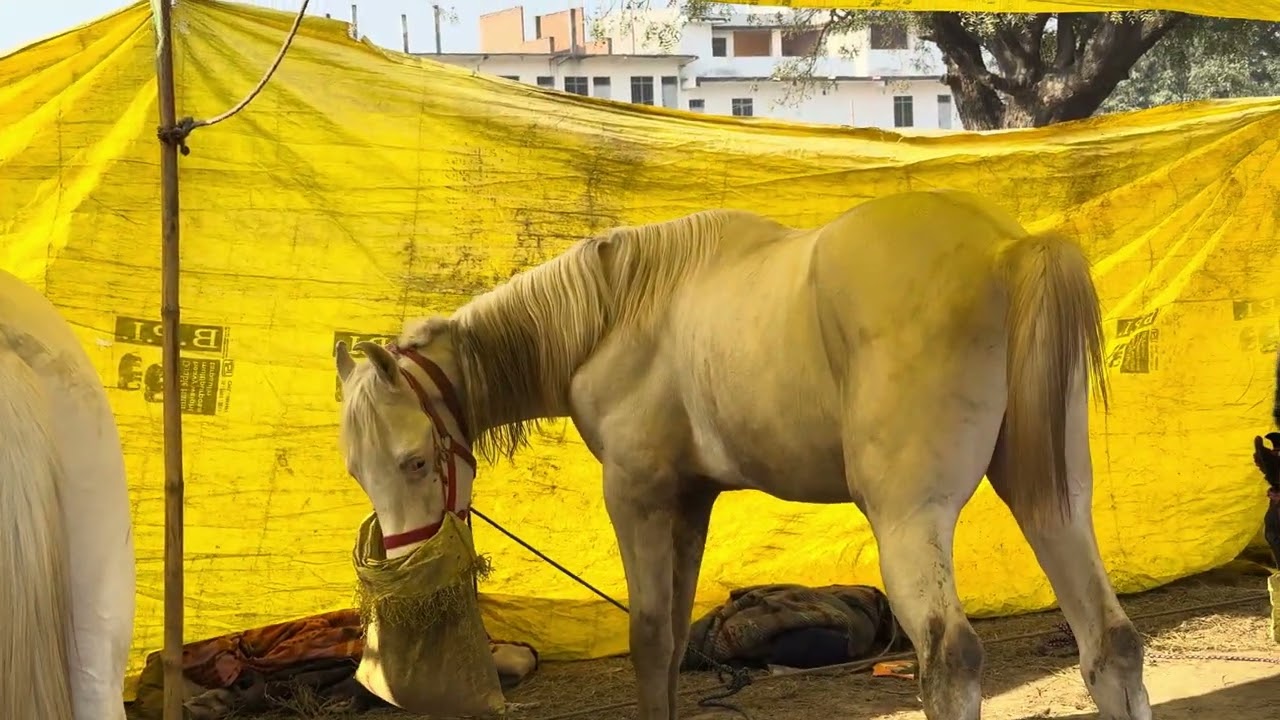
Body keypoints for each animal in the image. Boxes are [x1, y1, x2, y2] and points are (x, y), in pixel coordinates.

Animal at [334, 189, 1151, 720]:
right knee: (1110, 643)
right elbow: (669, 645)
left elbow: (647, 638)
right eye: (356, 469)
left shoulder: (636, 495)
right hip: (1053, 501)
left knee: (951, 659)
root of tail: (1005, 249)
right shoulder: (691, 500)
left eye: (414, 460)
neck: (617, 314)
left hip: (908, 518)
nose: (402, 571)